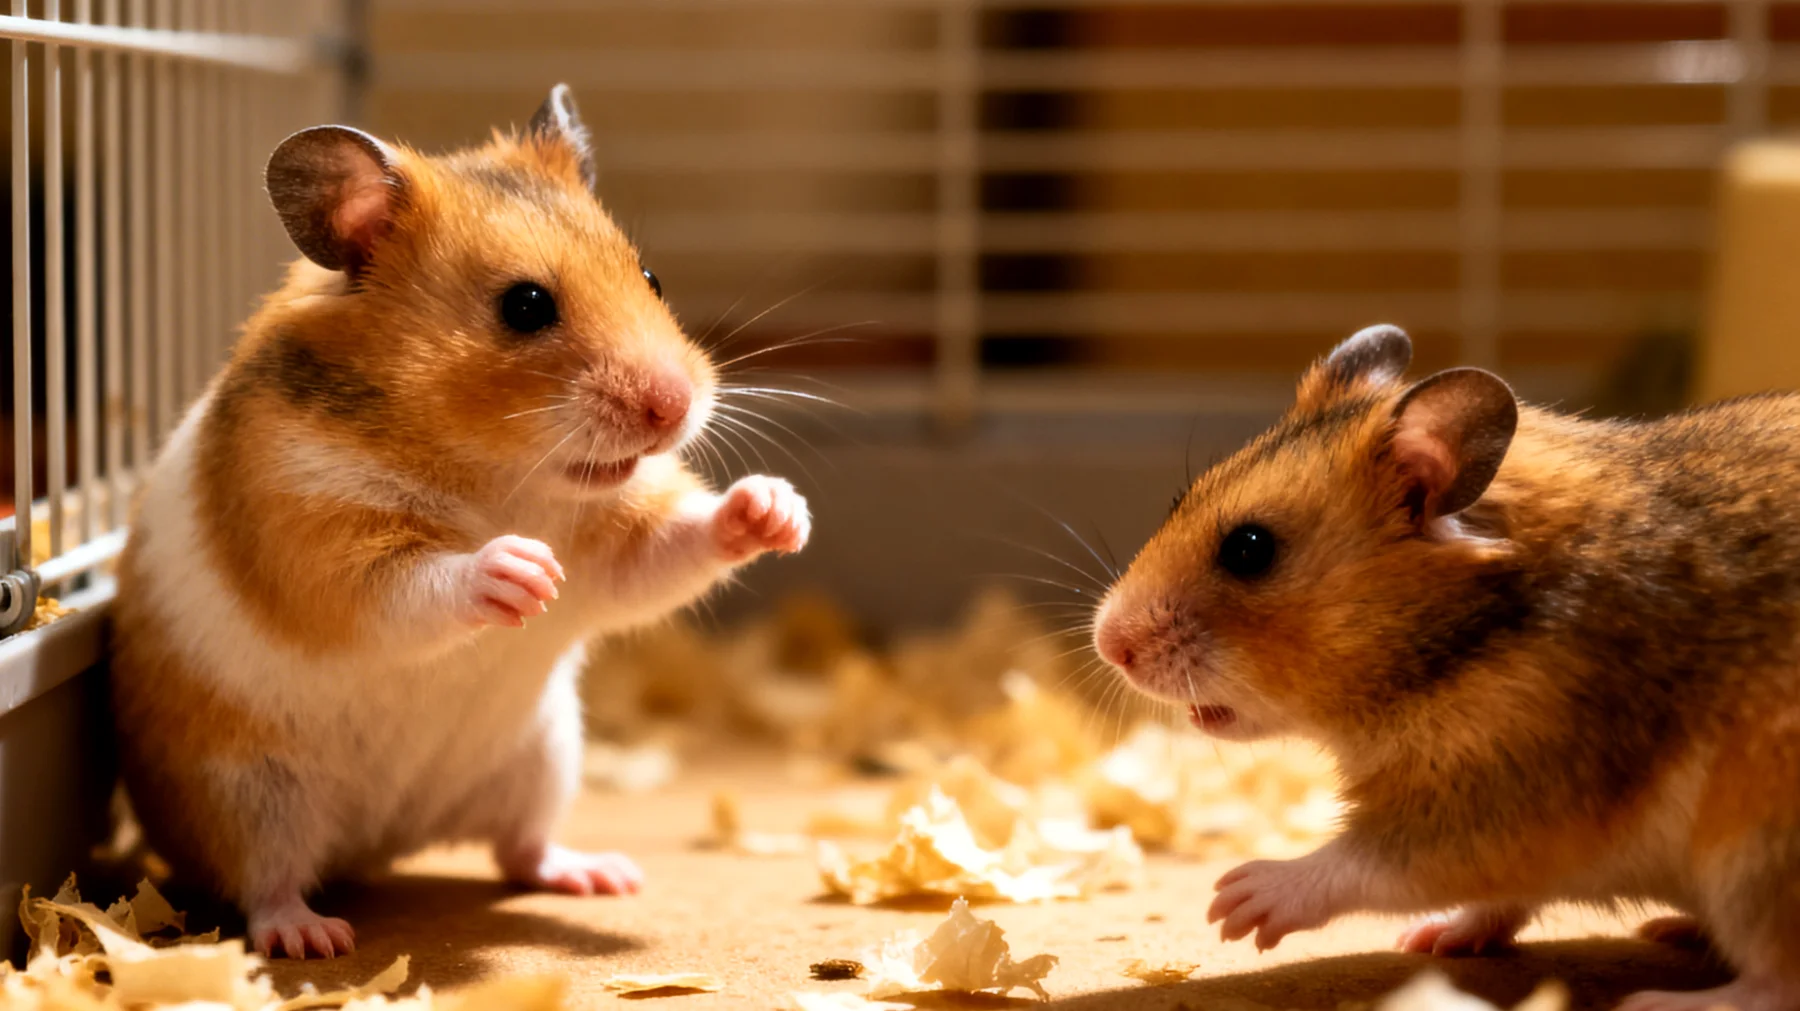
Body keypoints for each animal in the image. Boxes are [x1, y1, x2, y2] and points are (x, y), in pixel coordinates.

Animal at [109, 84, 811, 960]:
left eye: (650, 276)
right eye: (526, 305)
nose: (674, 407)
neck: (506, 475)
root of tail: (384, 842)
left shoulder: (619, 544)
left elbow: (675, 544)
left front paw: (777, 509)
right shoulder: (319, 534)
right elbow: (415, 584)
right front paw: (524, 573)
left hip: (543, 762)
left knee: (520, 849)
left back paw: (602, 874)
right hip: (248, 791)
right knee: (265, 883)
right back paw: (313, 936)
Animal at [1093, 323, 1800, 1011]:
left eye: (1248, 549)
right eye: (1181, 498)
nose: (1107, 645)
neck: (1463, 644)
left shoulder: (1503, 797)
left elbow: (1373, 861)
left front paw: (1237, 899)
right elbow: (1498, 900)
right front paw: (1431, 939)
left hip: (1756, 848)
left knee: (1774, 983)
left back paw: (1664, 1000)